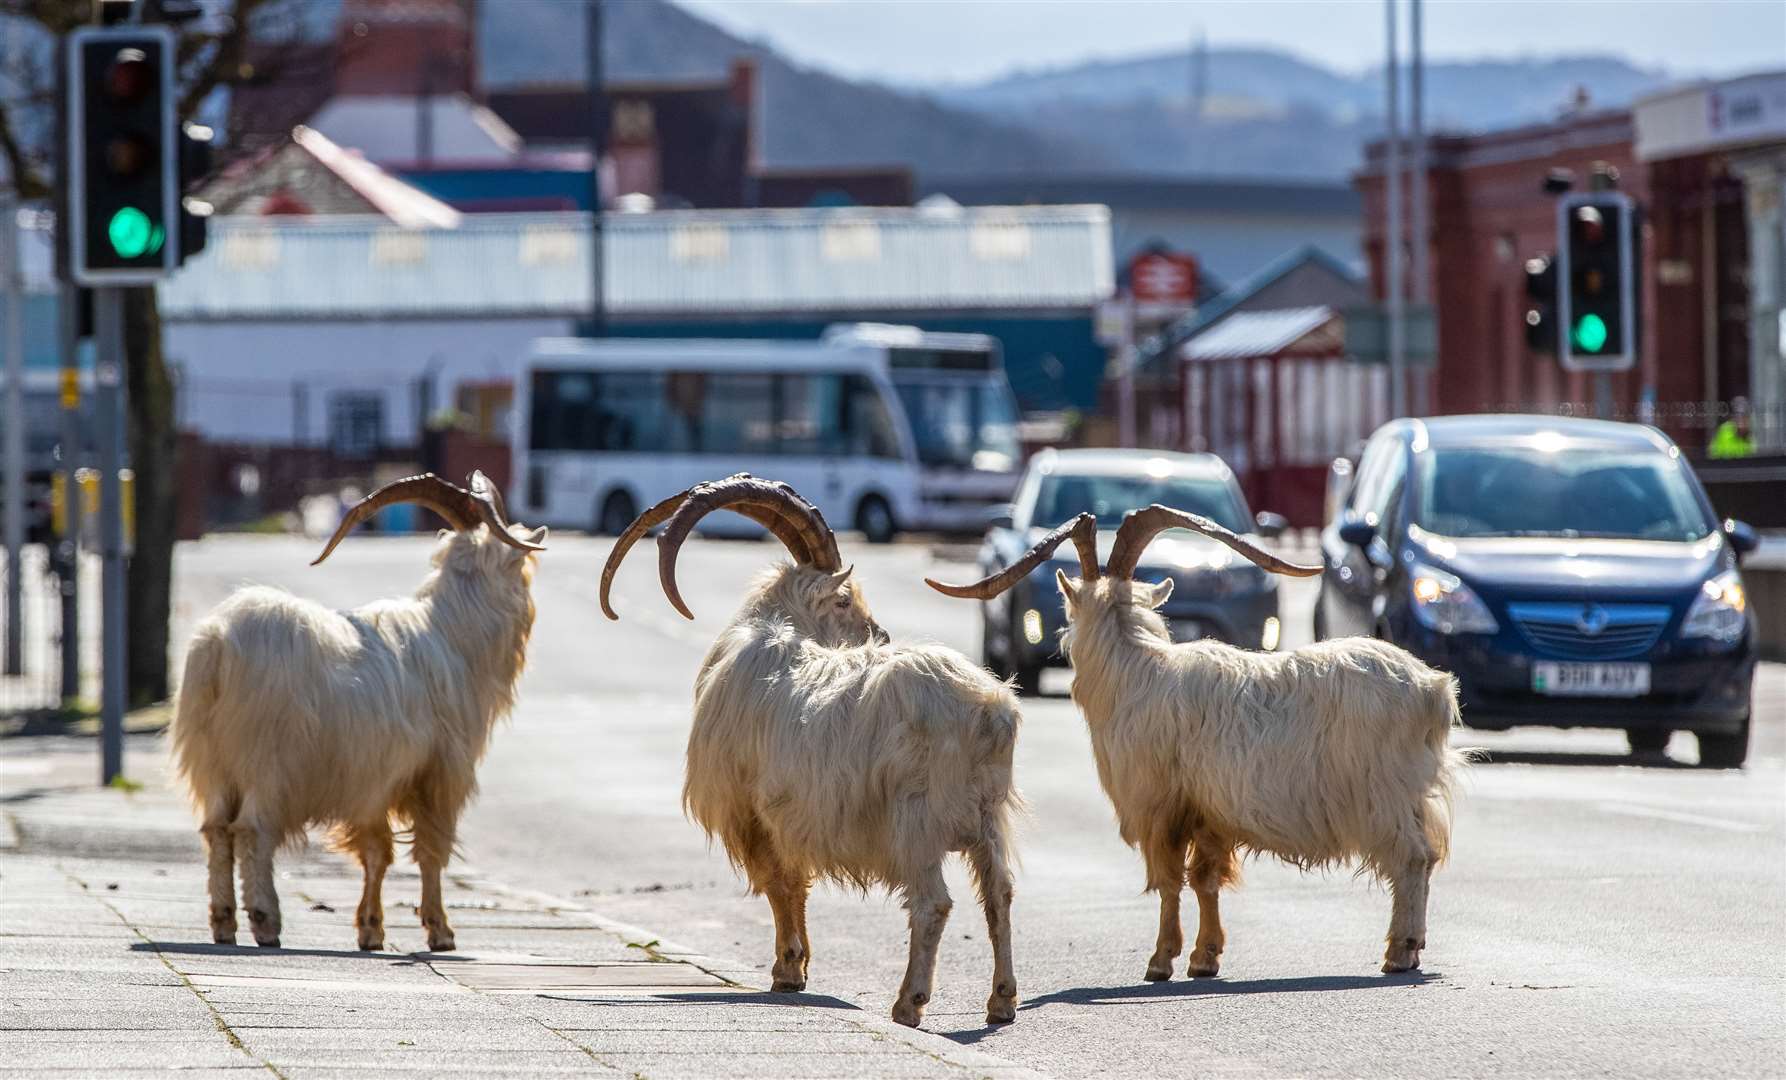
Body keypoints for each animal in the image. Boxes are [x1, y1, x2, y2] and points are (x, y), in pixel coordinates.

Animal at [600, 474, 1021, 1028]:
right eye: (843, 601)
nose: (879, 634)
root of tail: (988, 710)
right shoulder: (789, 816)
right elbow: (795, 884)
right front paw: (799, 967)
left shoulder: (754, 813)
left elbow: (779, 885)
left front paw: (787, 970)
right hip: (987, 817)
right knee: (999, 893)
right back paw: (1002, 1001)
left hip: (915, 821)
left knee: (932, 903)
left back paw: (908, 1004)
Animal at [928, 506, 1457, 978]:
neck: (1135, 670)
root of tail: (1431, 688)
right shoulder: (1209, 812)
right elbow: (1205, 879)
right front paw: (1206, 957)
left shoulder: (1160, 806)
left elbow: (1167, 881)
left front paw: (1161, 961)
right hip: (1410, 794)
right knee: (1429, 856)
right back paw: (1413, 947)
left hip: (1380, 795)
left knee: (1411, 858)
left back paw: (1399, 951)